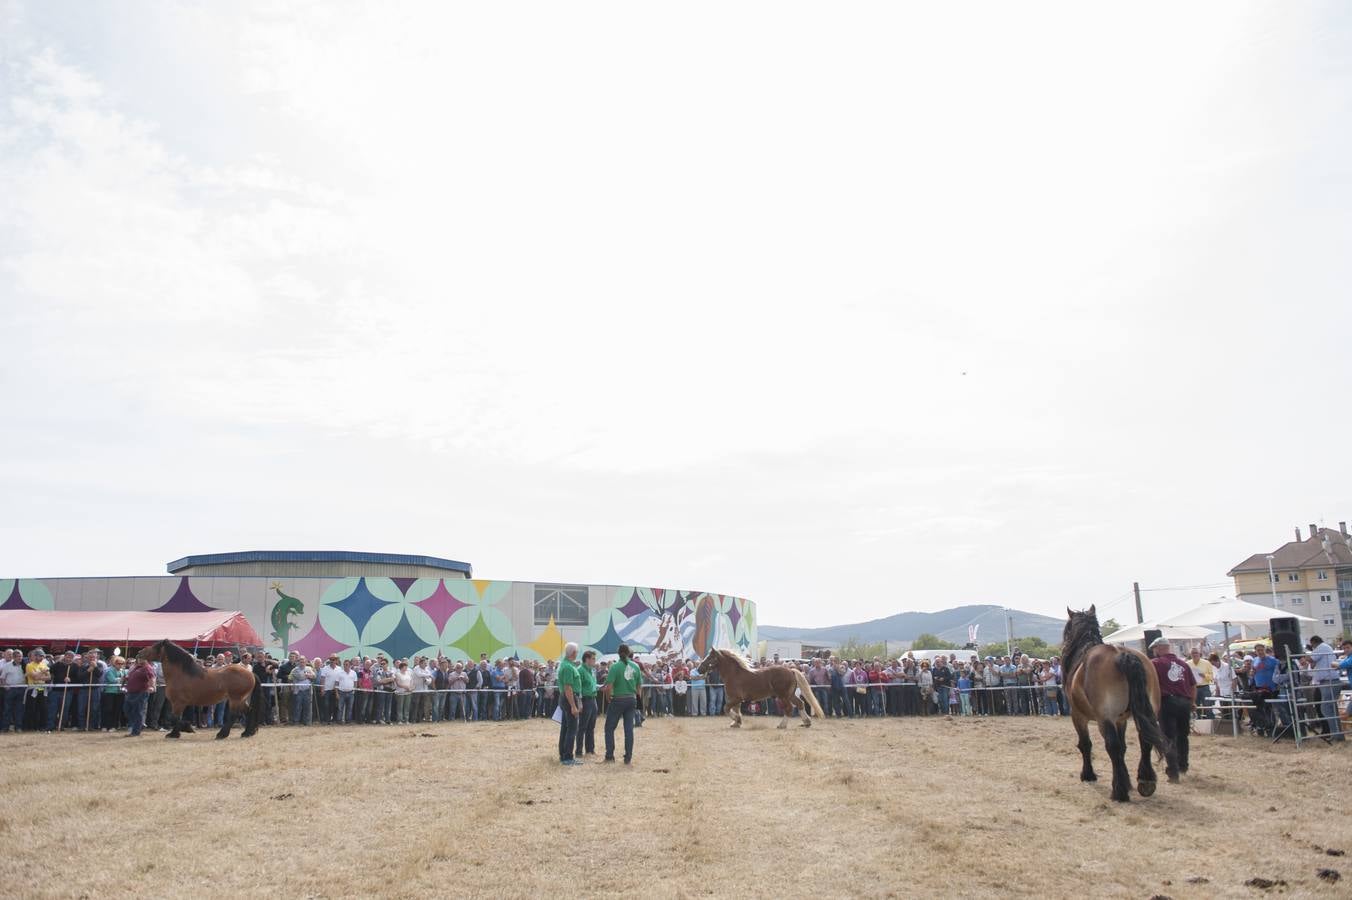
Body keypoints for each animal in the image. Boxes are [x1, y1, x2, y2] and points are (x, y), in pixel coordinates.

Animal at [1065, 602, 1173, 800]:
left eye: (1068, 629)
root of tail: (1122, 654)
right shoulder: (1121, 719)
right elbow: (1123, 748)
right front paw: (1128, 780)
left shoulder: (1078, 715)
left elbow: (1086, 744)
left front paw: (1088, 774)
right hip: (1147, 712)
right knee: (1144, 740)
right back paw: (1145, 780)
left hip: (1104, 717)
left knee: (1112, 746)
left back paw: (1119, 791)